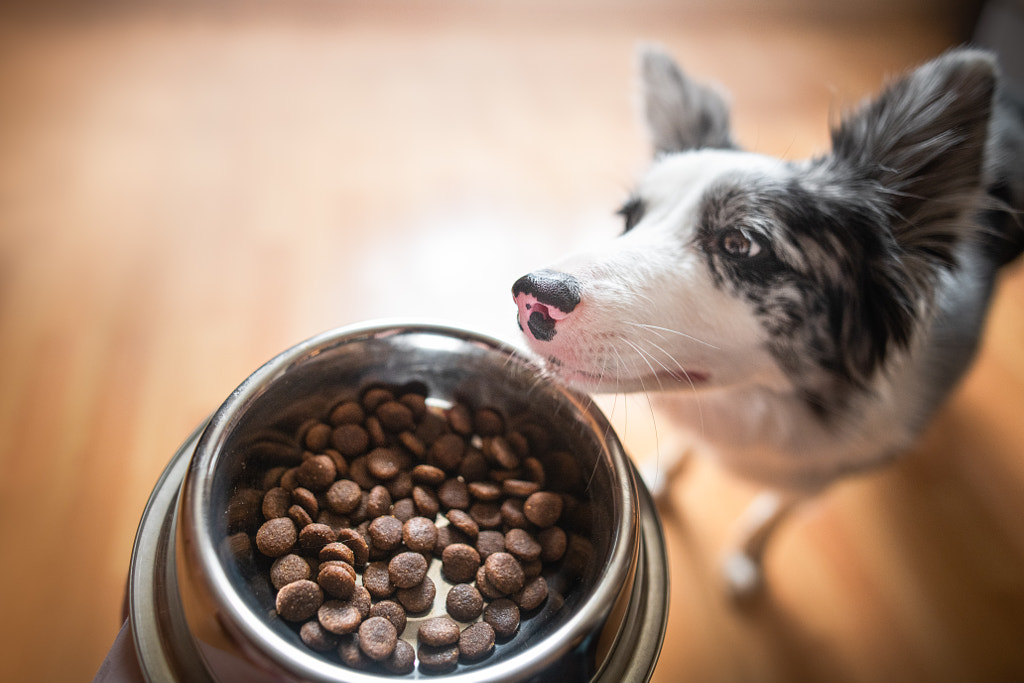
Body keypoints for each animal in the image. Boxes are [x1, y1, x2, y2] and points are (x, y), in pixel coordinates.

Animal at [512, 46, 1024, 598]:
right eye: (630, 220)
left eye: (740, 244)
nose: (532, 296)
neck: (765, 405)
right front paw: (662, 476)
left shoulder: (826, 469)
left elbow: (779, 509)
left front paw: (746, 556)